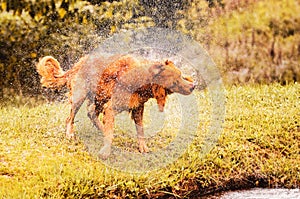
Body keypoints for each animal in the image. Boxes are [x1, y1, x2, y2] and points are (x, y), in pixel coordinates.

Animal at [37, 53, 195, 159]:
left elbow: (140, 130)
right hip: (80, 96)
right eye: (175, 82)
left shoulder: (138, 108)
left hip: (99, 97)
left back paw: (101, 128)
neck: (141, 80)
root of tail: (77, 63)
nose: (193, 86)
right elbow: (110, 133)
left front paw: (142, 147)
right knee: (70, 118)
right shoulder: (111, 107)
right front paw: (106, 151)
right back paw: (70, 133)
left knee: (91, 113)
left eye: (181, 75)